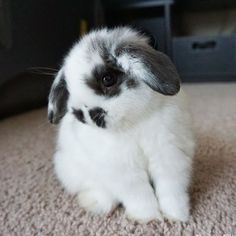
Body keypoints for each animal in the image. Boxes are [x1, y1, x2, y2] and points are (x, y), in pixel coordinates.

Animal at [48, 26, 195, 222]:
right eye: (70, 89)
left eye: (107, 78)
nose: (82, 113)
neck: (133, 122)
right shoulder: (122, 171)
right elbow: (139, 193)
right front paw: (148, 218)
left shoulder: (169, 156)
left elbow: (171, 189)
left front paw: (176, 216)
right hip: (71, 169)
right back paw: (93, 204)